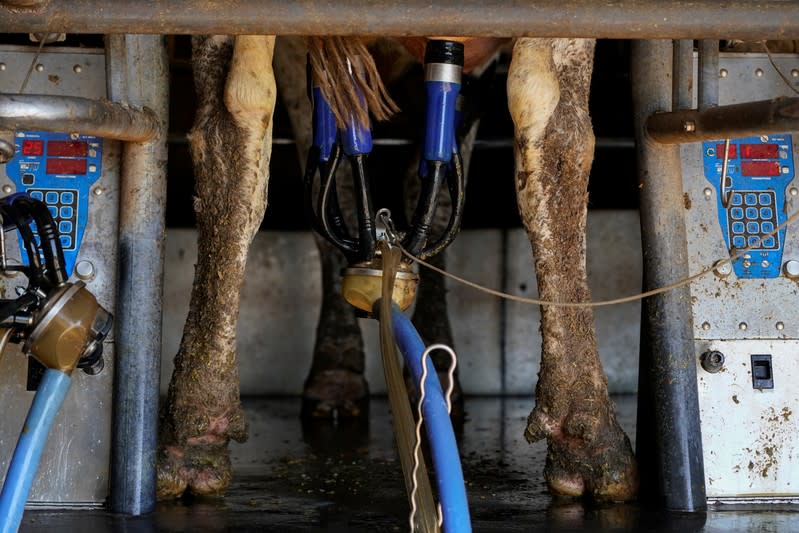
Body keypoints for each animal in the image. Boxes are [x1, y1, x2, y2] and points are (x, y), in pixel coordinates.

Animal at [158, 34, 636, 502]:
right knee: (323, 171)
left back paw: (433, 370)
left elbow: (555, 137)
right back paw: (327, 378)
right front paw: (194, 429)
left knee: (430, 188)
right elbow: (234, 130)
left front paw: (585, 432)